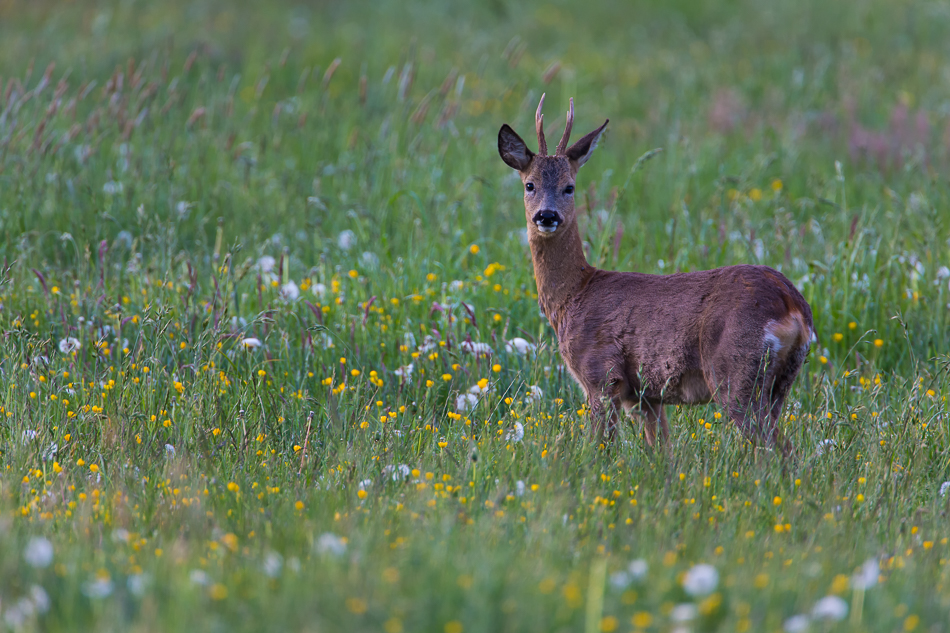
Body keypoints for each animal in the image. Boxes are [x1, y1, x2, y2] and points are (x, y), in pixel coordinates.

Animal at [498, 94, 820, 454]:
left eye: (569, 187)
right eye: (530, 184)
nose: (547, 216)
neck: (574, 293)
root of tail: (793, 305)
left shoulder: (602, 375)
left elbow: (600, 449)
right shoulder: (645, 396)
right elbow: (663, 452)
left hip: (736, 372)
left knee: (779, 450)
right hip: (781, 380)